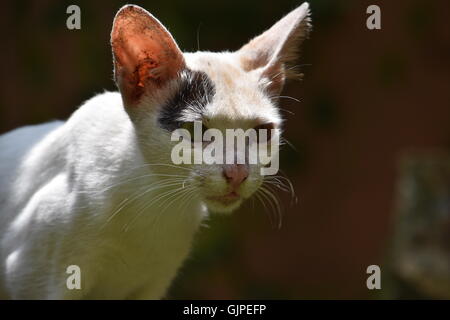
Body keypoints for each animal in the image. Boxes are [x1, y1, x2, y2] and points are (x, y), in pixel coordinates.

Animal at [0, 3, 312, 300]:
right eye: (193, 130)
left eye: (262, 132)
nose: (237, 173)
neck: (156, 202)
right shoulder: (32, 276)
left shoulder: (153, 285)